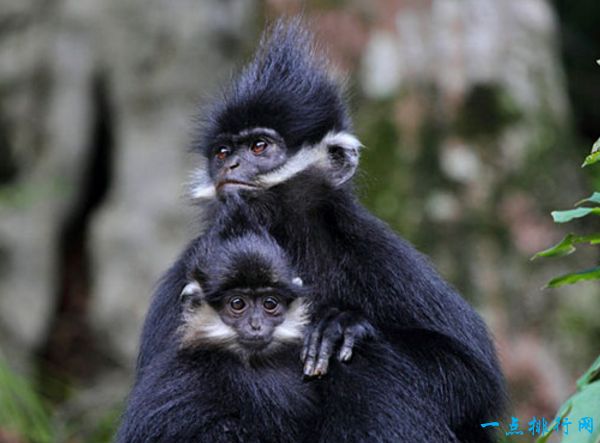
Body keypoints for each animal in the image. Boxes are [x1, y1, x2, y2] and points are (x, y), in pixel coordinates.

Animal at [129, 18, 504, 443]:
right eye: (222, 153)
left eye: (259, 147)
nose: (230, 167)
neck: (281, 233)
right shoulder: (189, 268)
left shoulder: (370, 246)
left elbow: (471, 376)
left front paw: (344, 326)